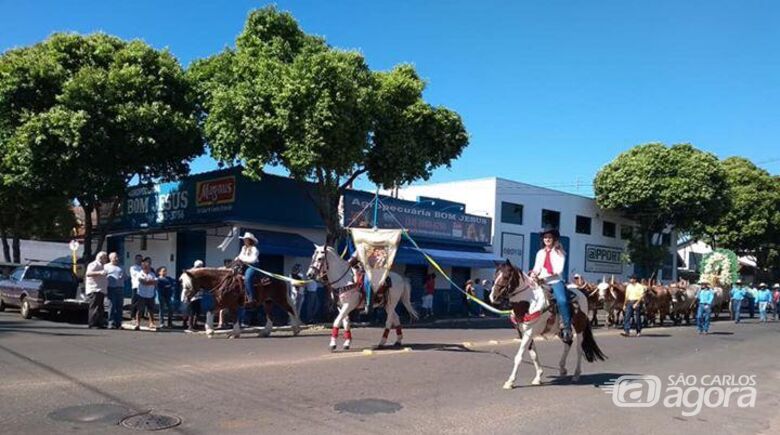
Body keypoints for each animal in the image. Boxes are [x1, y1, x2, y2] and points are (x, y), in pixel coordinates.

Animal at [490, 260, 608, 390]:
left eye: (506, 276)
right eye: (495, 276)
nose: (493, 297)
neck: (529, 303)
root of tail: (581, 293)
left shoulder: (529, 332)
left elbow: (519, 356)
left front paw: (510, 381)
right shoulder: (523, 333)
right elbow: (533, 355)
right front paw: (538, 377)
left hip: (579, 327)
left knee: (579, 349)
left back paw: (576, 374)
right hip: (561, 330)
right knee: (568, 342)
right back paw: (562, 368)